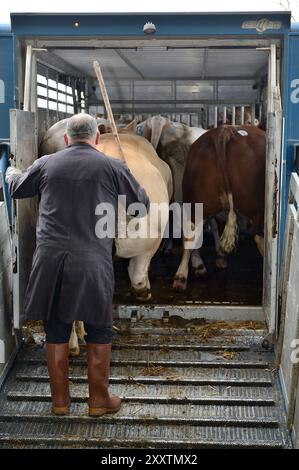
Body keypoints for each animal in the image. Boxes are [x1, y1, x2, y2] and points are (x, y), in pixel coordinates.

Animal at [173, 125, 268, 290]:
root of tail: (225, 131)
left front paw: (221, 256)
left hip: (196, 202)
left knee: (190, 235)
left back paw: (182, 277)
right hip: (256, 209)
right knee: (259, 237)